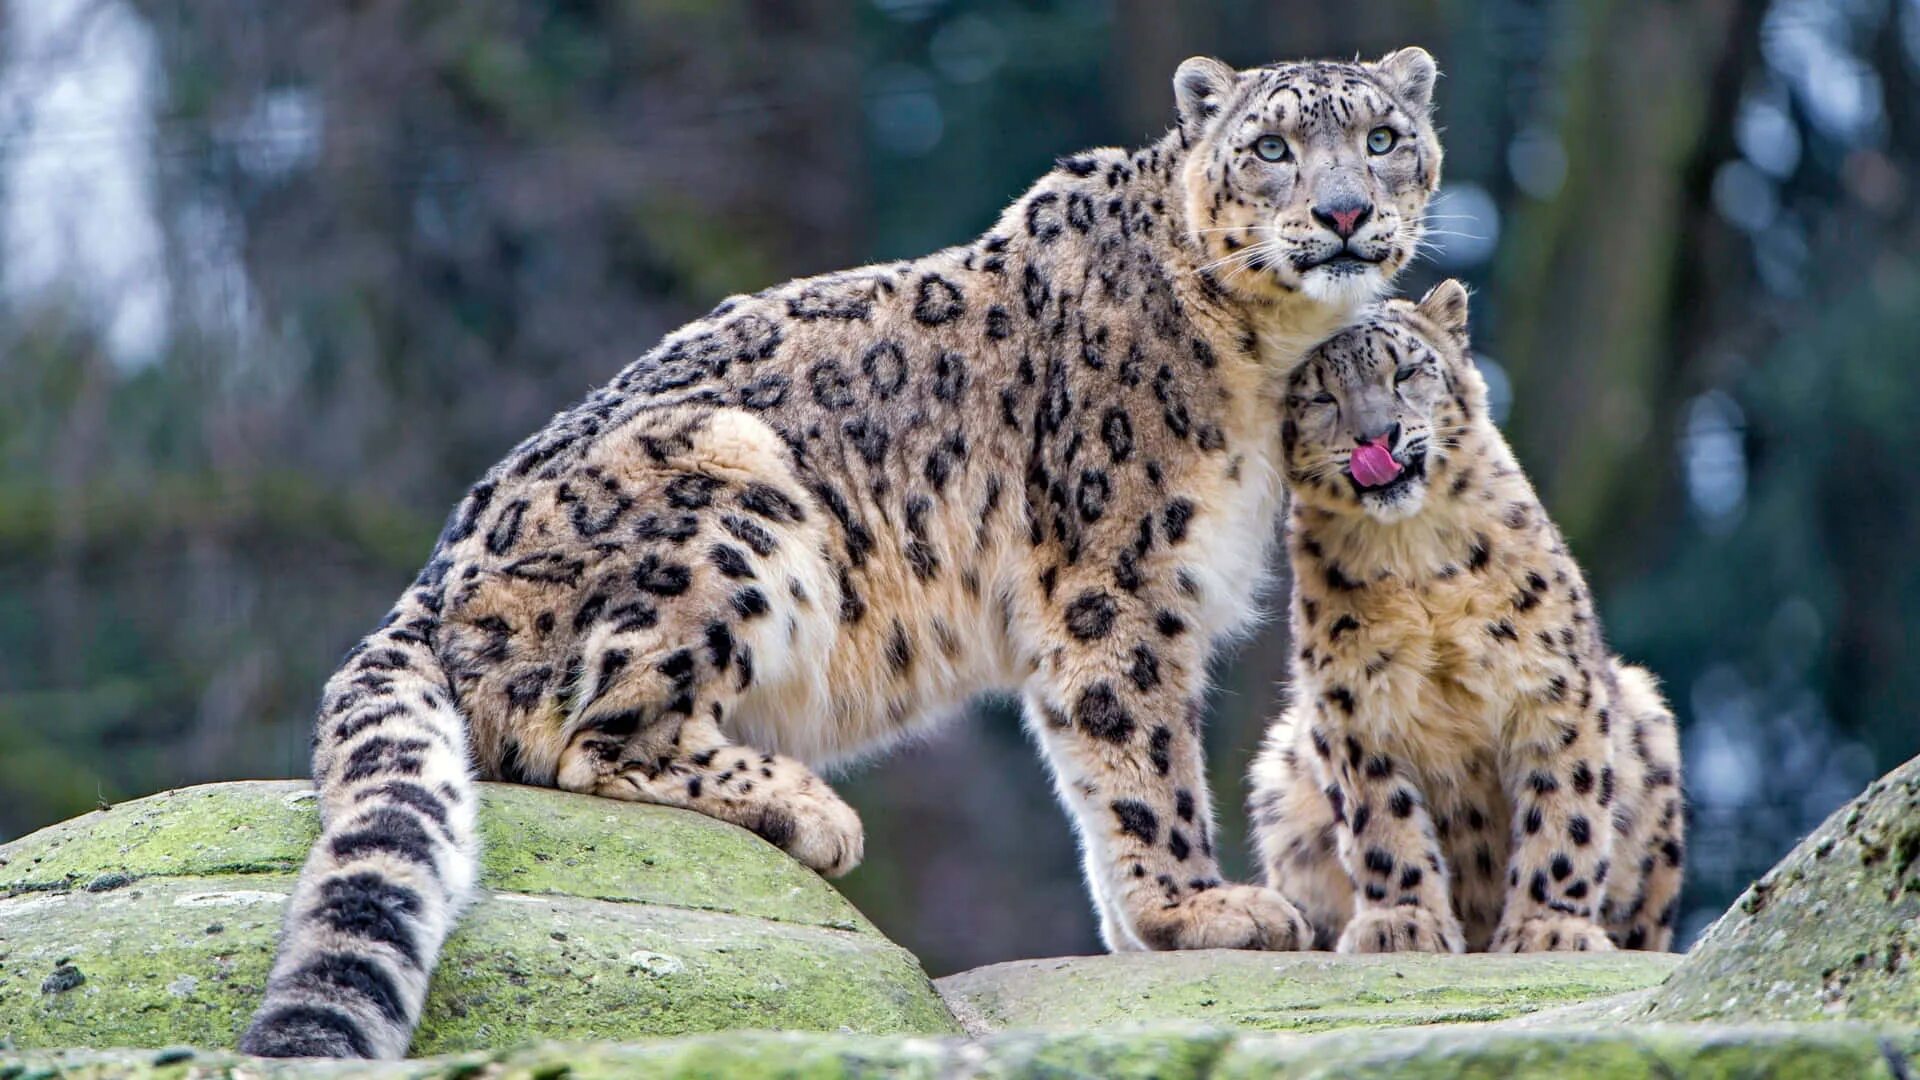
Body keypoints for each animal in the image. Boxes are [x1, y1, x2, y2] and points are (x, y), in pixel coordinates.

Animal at [240, 48, 1443, 1053]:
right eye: (1272, 148)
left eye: (1384, 137)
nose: (1344, 210)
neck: (1266, 360)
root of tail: (424, 585)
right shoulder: (1116, 574)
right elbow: (1138, 750)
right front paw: (1201, 909)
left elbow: (1091, 760)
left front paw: (1145, 926)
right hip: (731, 492)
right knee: (585, 731)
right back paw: (807, 809)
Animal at [1244, 282, 1681, 953]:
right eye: (1320, 396)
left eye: (1404, 371)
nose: (1376, 437)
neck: (1412, 554)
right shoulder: (1354, 706)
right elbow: (1383, 821)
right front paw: (1403, 922)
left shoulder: (1551, 687)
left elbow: (1566, 810)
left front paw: (1548, 928)